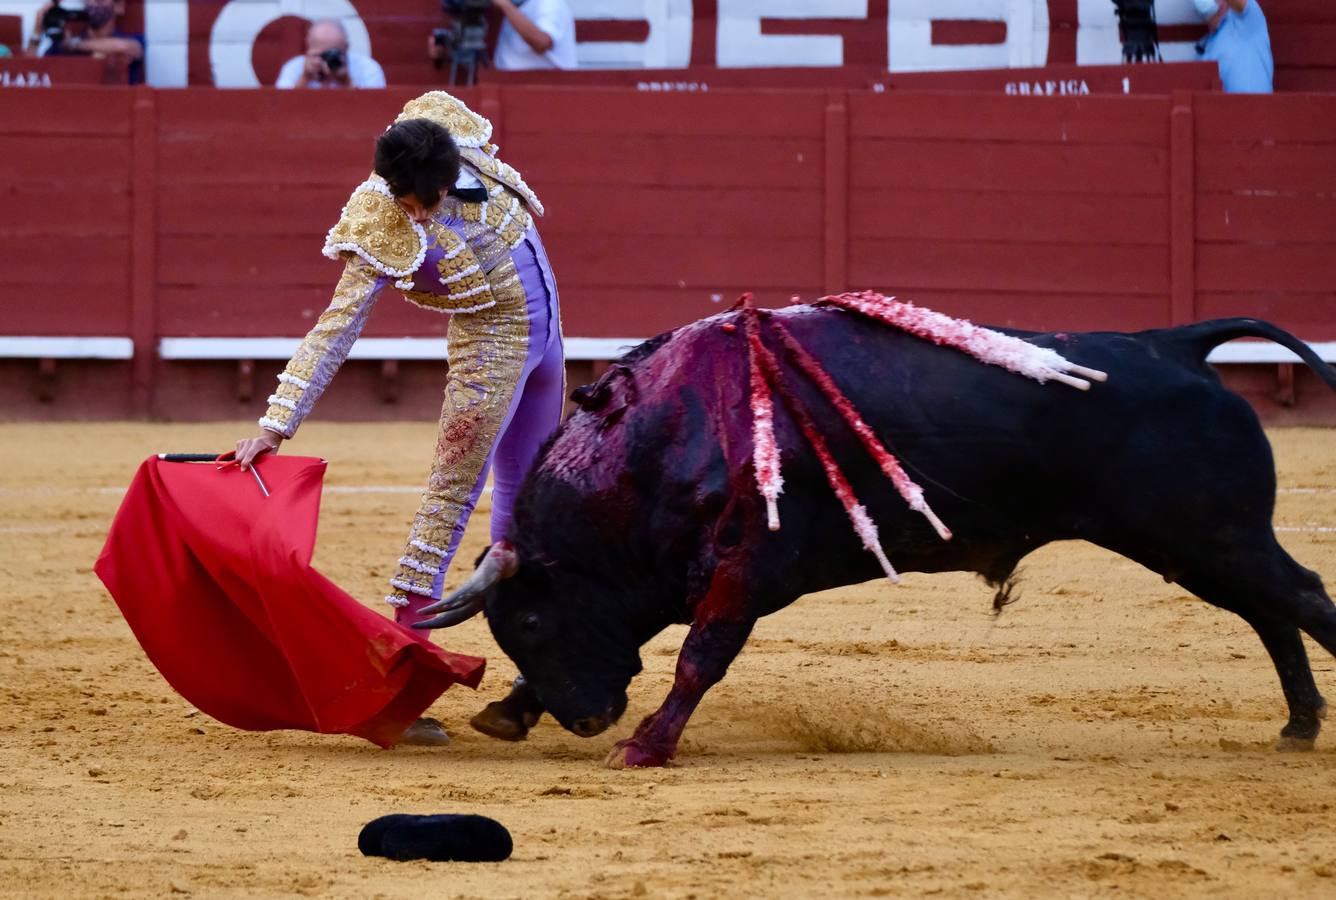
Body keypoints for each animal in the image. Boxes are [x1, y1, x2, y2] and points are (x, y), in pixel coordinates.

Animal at [416, 304, 1336, 769]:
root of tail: (1175, 344)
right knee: (1271, 611)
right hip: (1194, 544)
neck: (661, 438)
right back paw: (1297, 726)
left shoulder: (744, 571)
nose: (588, 720)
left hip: (1210, 533)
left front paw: (644, 746)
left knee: (1302, 597)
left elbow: (698, 659)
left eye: (535, 621)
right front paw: (509, 711)